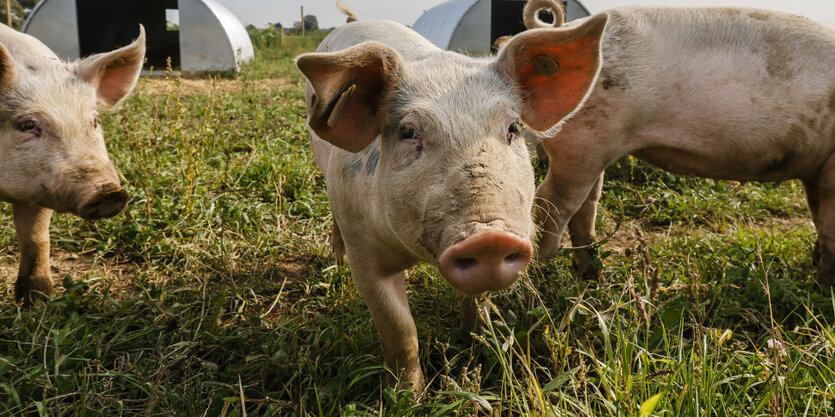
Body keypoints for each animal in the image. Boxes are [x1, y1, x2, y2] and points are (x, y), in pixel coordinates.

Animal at [0, 25, 145, 302]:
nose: (109, 193)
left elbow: (36, 237)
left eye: (95, 121)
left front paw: (39, 300)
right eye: (27, 125)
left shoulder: (38, 186)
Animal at [298, 8, 612, 388]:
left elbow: (477, 301)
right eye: (408, 132)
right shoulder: (364, 250)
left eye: (513, 128)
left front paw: (475, 341)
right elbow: (400, 331)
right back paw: (337, 259)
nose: (488, 238)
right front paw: (409, 393)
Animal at [524, 0, 835, 284]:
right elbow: (829, 226)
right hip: (582, 146)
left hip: (594, 150)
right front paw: (824, 285)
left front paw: (817, 266)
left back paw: (591, 274)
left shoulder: (816, 169)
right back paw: (544, 268)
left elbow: (818, 215)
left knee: (586, 204)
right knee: (552, 201)